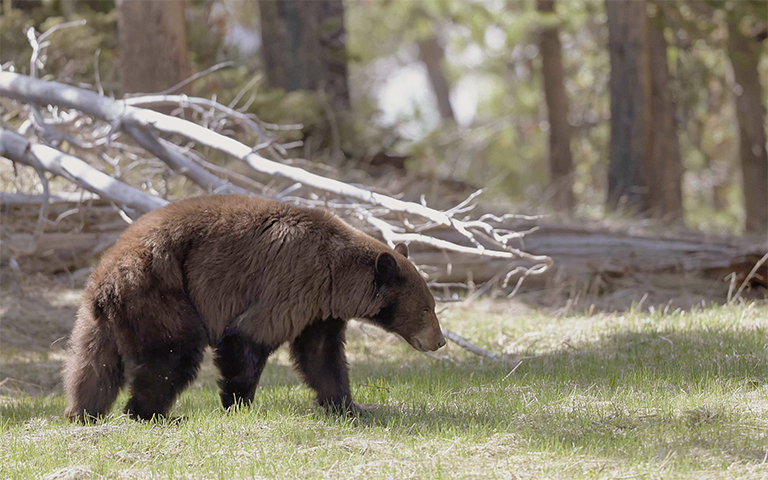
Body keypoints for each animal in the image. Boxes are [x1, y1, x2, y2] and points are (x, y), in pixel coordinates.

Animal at [62, 194, 445, 421]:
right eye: (427, 308)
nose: (439, 341)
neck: (335, 275)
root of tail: (105, 280)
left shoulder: (319, 310)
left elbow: (321, 356)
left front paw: (348, 406)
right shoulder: (290, 282)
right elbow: (246, 339)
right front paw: (239, 404)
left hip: (104, 319)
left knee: (93, 368)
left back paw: (83, 413)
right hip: (161, 294)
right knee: (172, 356)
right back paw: (153, 414)